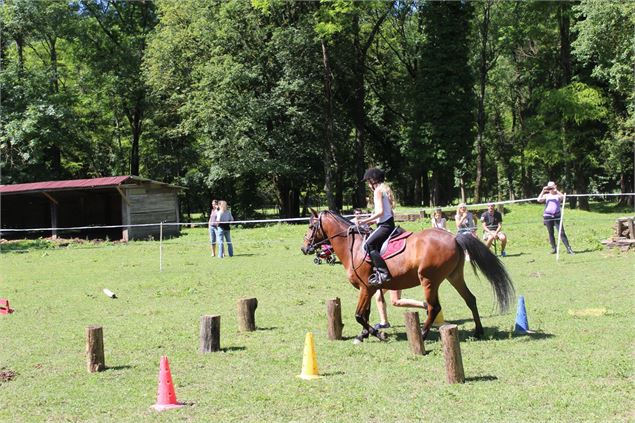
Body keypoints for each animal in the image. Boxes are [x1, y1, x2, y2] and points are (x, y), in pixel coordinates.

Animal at [300, 210, 516, 344]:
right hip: (454, 276)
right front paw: (363, 335)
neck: (354, 247)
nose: (304, 248)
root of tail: (454, 237)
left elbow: (359, 315)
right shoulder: (368, 289)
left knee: (434, 307)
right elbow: (365, 314)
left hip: (428, 280)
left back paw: (423, 334)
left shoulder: (365, 288)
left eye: (311, 227)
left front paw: (379, 334)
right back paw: (478, 331)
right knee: (470, 299)